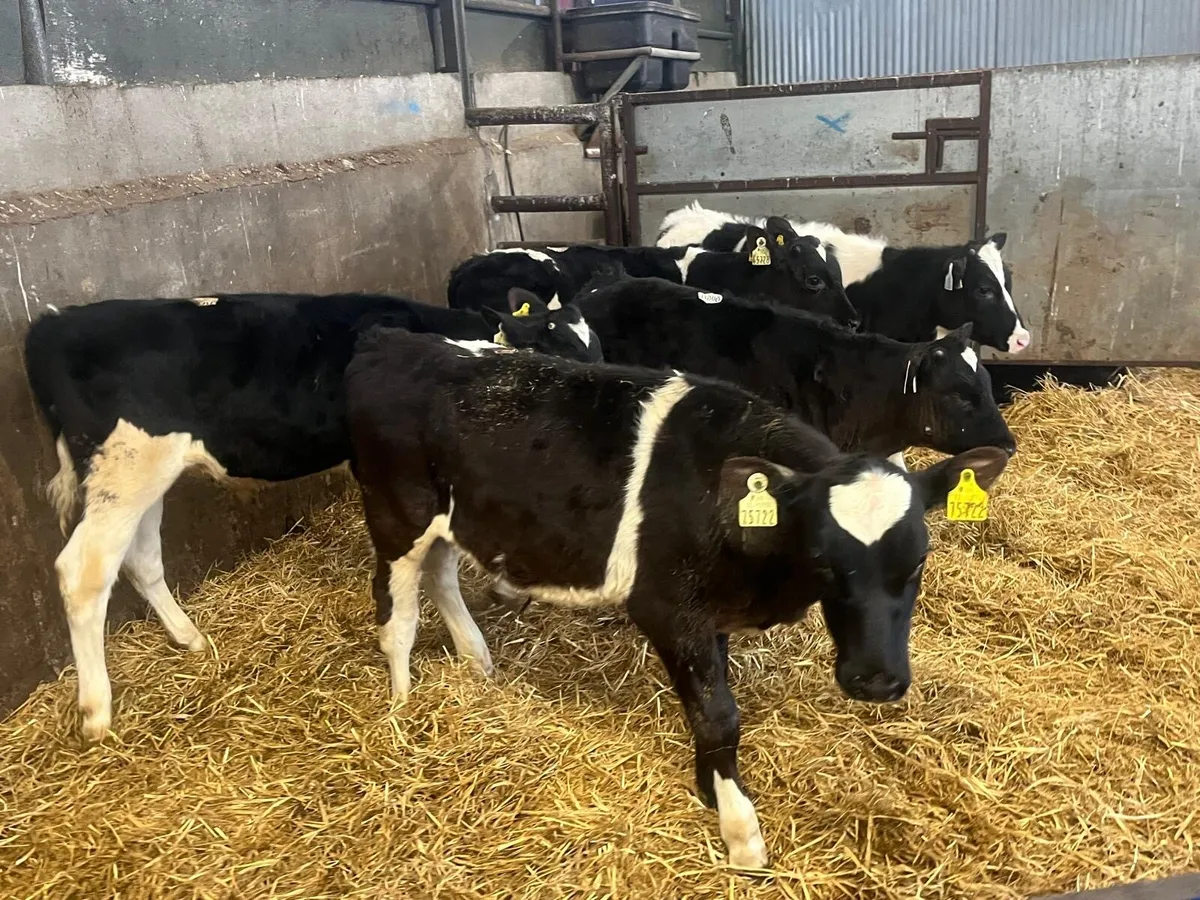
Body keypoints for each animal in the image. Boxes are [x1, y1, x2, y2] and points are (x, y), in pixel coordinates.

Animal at [23, 290, 601, 743]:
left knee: (140, 559)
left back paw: (190, 639)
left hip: (144, 476)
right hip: (126, 468)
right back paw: (96, 711)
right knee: (83, 571)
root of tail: (52, 323)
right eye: (557, 349)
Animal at [344, 326, 1012, 869]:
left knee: (442, 575)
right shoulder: (668, 609)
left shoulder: (710, 612)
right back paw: (403, 712)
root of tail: (391, 339)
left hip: (451, 520)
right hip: (396, 515)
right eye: (824, 560)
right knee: (397, 616)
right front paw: (740, 831)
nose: (876, 681)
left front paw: (710, 786)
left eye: (918, 560)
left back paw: (477, 663)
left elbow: (715, 707)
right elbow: (717, 715)